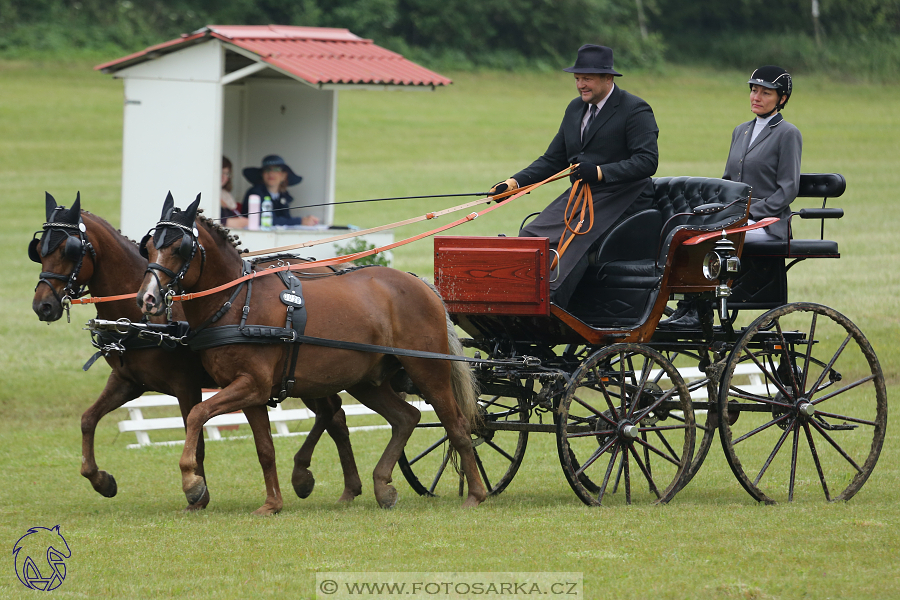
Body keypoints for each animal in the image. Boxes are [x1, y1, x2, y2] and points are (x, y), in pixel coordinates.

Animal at [31, 195, 362, 512]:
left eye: (69, 250)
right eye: (38, 251)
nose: (42, 306)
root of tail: (330, 267)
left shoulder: (185, 385)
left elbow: (196, 432)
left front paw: (197, 492)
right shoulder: (129, 381)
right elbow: (88, 419)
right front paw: (101, 480)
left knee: (332, 414)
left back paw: (308, 476)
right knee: (334, 415)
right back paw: (344, 486)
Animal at [137, 195, 486, 508]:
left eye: (179, 248)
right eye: (149, 246)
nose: (147, 298)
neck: (236, 301)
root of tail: (421, 284)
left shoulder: (251, 385)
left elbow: (197, 414)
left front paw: (192, 482)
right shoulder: (251, 391)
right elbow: (264, 448)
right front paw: (273, 503)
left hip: (427, 369)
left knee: (455, 424)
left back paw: (475, 494)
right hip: (364, 380)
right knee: (405, 417)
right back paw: (382, 485)